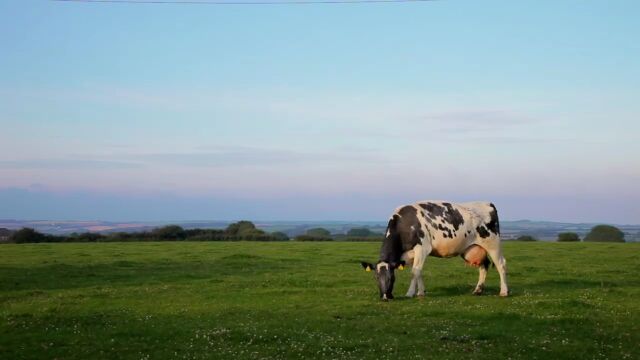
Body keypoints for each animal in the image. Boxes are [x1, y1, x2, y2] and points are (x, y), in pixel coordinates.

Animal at [362, 201, 508, 300]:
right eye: (376, 277)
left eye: (392, 277)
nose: (385, 297)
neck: (405, 224)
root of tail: (487, 203)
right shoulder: (412, 254)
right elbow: (418, 272)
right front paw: (421, 292)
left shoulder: (422, 248)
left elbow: (415, 272)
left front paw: (410, 293)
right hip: (474, 248)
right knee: (484, 265)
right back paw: (478, 290)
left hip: (493, 243)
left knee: (501, 265)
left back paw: (504, 291)